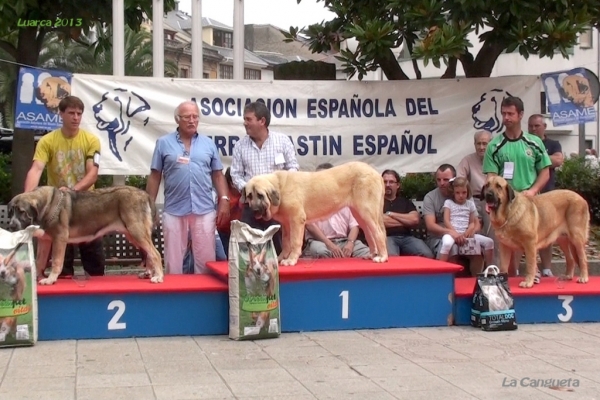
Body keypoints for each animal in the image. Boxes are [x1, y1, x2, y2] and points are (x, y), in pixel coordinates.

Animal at [9, 187, 164, 284]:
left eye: (22, 212)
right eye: (11, 212)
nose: (11, 226)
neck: (47, 205)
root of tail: (144, 194)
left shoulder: (59, 238)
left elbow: (57, 261)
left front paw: (50, 279)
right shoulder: (45, 242)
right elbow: (40, 261)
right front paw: (37, 278)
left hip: (136, 231)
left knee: (155, 253)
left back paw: (158, 277)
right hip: (132, 234)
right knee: (149, 253)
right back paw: (150, 273)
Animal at [244, 159, 390, 266]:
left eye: (261, 195)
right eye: (250, 196)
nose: (254, 210)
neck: (280, 188)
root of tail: (375, 173)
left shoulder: (297, 220)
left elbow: (295, 242)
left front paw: (291, 260)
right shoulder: (286, 224)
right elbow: (286, 243)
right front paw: (280, 259)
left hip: (367, 211)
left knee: (378, 233)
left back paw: (382, 257)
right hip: (359, 214)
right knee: (370, 234)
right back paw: (372, 255)